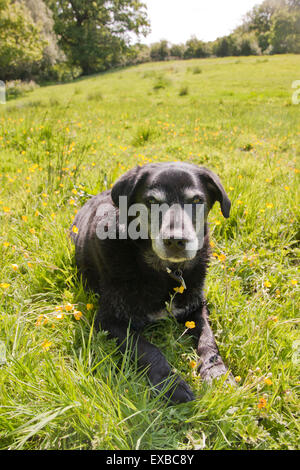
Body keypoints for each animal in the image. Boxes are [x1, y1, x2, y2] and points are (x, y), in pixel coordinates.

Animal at [72, 162, 232, 404]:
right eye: (152, 201)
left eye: (197, 200)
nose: (176, 240)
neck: (165, 271)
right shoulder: (109, 321)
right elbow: (147, 349)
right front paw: (172, 385)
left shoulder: (196, 308)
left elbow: (208, 340)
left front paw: (217, 372)